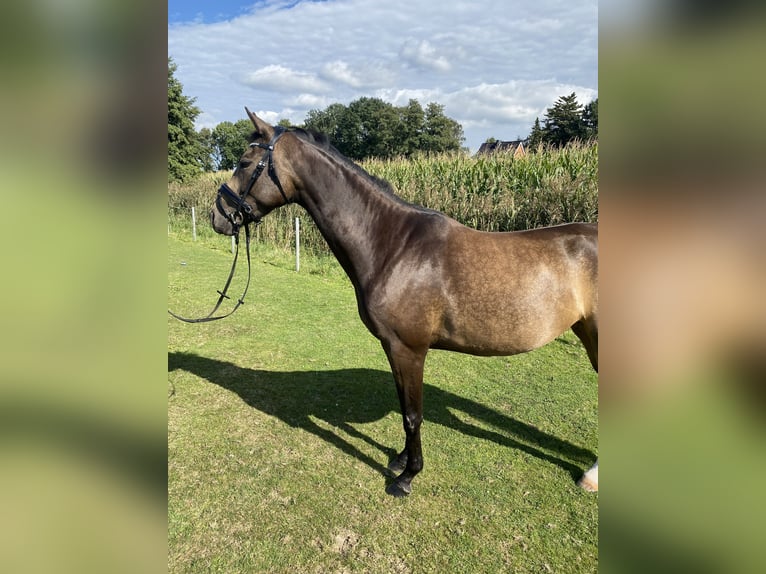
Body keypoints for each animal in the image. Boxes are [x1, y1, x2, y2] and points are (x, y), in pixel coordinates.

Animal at [210, 110, 600, 498]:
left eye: (244, 162)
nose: (217, 216)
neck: (393, 245)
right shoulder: (393, 349)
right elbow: (404, 410)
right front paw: (399, 460)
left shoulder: (407, 349)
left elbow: (413, 415)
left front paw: (407, 476)